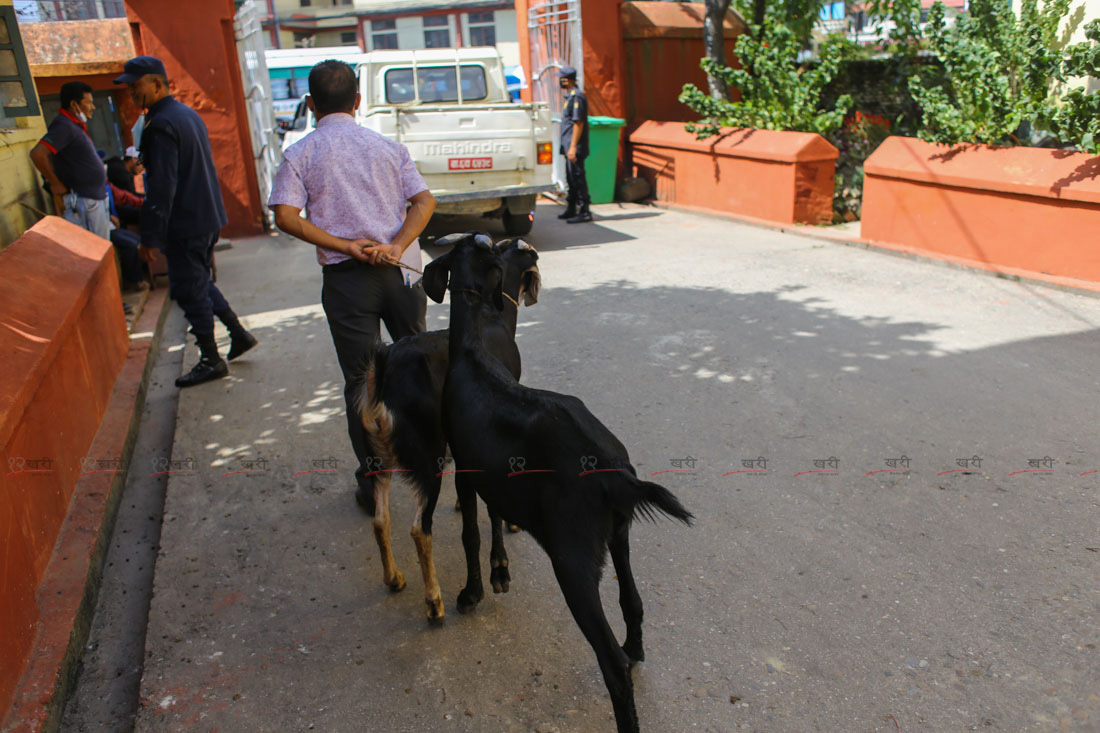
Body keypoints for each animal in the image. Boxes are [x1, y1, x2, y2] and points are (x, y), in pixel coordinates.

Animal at [356, 236, 541, 620]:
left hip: (376, 456)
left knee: (380, 520)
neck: (491, 318)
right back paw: (435, 602)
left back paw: (394, 578)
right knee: (418, 528)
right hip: (427, 457)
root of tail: (383, 373)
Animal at [424, 234, 690, 730]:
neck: (473, 348)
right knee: (632, 603)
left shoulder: (465, 469)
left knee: (611, 664)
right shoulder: (495, 477)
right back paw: (635, 648)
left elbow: (470, 532)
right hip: (618, 535)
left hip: (573, 560)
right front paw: (499, 571)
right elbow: (493, 516)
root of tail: (615, 473)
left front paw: (472, 592)